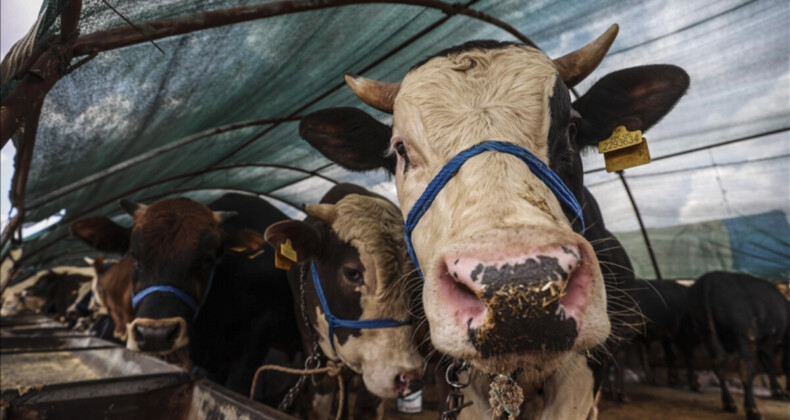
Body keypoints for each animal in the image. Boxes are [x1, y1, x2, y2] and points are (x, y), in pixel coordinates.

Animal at [688, 272, 788, 420]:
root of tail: (708, 280)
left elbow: (769, 364)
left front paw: (778, 391)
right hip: (745, 335)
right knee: (745, 371)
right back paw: (753, 411)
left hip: (706, 332)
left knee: (719, 366)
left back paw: (729, 404)